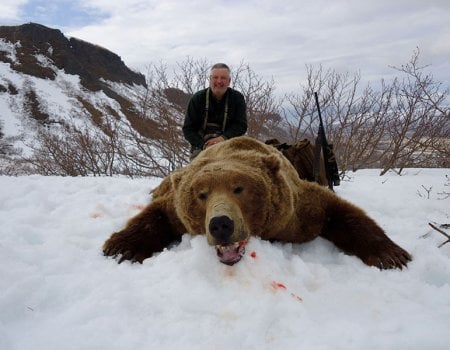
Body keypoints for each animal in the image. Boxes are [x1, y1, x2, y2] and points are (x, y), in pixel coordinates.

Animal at [103, 136, 414, 268]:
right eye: (202, 194)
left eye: (239, 188)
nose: (220, 224)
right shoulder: (177, 209)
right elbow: (156, 215)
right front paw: (121, 247)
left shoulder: (298, 212)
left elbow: (340, 212)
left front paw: (391, 255)